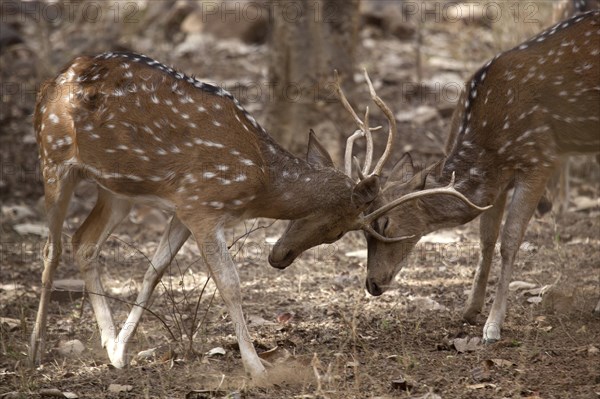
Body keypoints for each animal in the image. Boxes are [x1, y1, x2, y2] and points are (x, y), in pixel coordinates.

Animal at [30, 51, 390, 380]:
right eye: (338, 232)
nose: (279, 258)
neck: (260, 179)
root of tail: (51, 82)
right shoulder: (202, 204)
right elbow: (229, 284)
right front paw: (257, 368)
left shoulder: (184, 205)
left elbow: (154, 271)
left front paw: (120, 349)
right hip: (53, 156)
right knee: (52, 248)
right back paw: (36, 347)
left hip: (117, 189)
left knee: (84, 242)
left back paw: (107, 343)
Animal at [272, 9, 600, 340]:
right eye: (363, 233)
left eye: (384, 224)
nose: (372, 284)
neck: (490, 141)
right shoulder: (497, 180)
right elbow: (486, 239)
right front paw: (470, 310)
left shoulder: (540, 158)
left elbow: (509, 241)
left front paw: (493, 325)